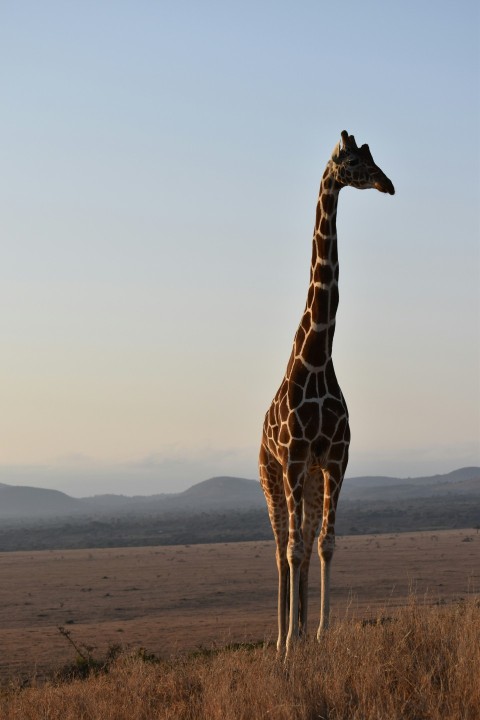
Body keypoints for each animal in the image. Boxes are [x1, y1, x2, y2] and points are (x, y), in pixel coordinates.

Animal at [259, 130, 394, 657]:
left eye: (374, 158)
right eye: (353, 162)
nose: (387, 184)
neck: (317, 357)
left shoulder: (334, 459)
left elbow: (325, 544)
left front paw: (318, 632)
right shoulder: (295, 457)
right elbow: (295, 548)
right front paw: (290, 644)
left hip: (311, 478)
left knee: (303, 539)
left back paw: (298, 629)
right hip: (271, 474)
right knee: (281, 549)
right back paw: (280, 638)